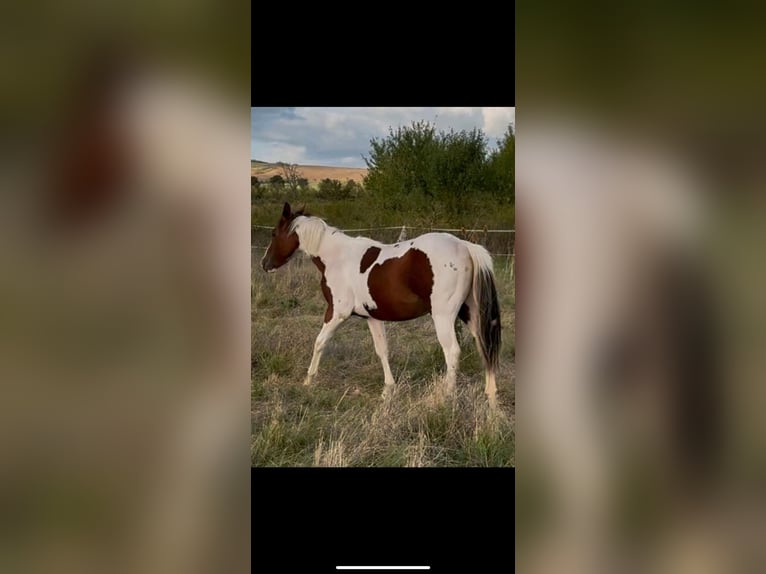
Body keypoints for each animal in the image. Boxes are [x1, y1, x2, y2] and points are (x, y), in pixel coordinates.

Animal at [261, 202, 502, 406]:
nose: (265, 264)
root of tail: (465, 246)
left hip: (443, 317)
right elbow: (382, 351)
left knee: (452, 352)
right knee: (485, 346)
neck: (337, 257)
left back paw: (446, 397)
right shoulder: (373, 317)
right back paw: (491, 399)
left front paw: (308, 381)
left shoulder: (336, 313)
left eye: (274, 233)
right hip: (471, 314)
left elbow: (320, 342)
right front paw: (388, 390)